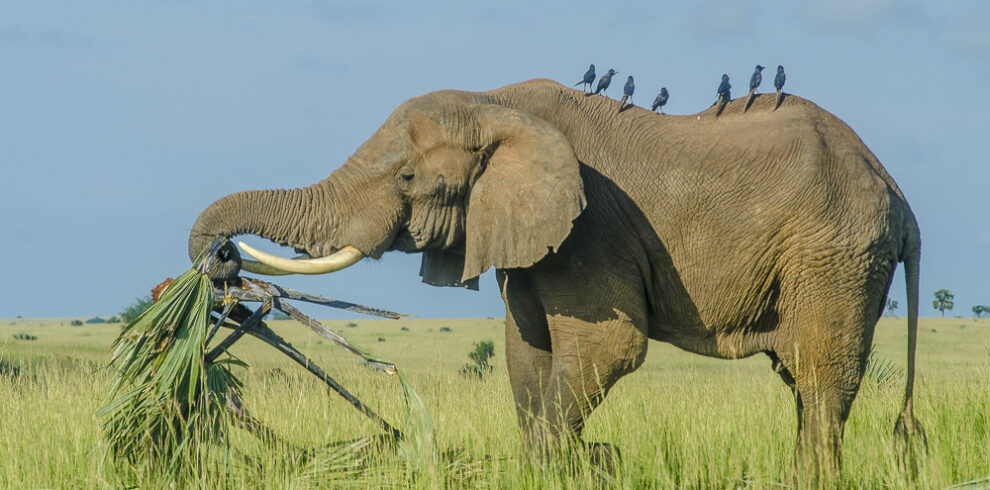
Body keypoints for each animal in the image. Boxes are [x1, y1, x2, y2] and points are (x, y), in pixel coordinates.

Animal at [188, 79, 923, 480]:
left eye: (408, 178)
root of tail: (896, 191)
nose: (221, 260)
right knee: (805, 385)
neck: (497, 103)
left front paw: (582, 462)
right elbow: (527, 355)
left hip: (835, 253)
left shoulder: (592, 226)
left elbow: (607, 350)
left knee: (821, 381)